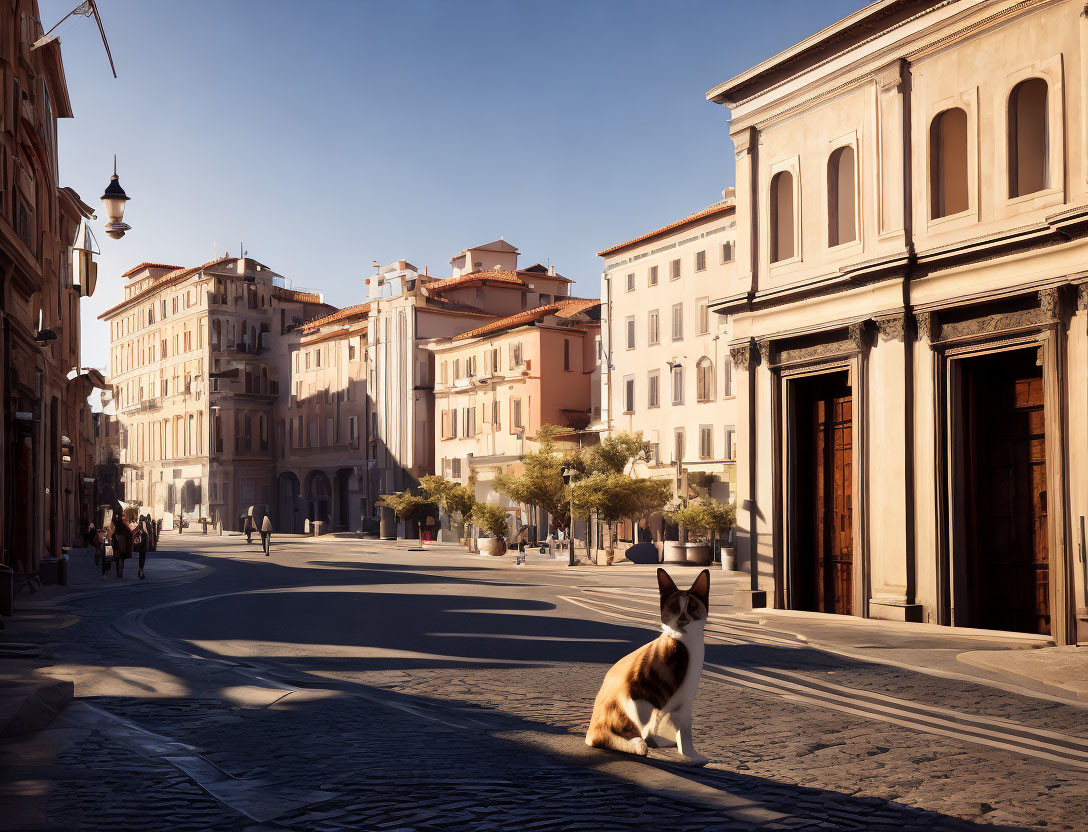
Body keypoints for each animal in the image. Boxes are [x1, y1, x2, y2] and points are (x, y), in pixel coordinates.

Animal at [587, 565, 713, 765]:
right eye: (674, 607)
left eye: (692, 607)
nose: (682, 620)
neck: (686, 642)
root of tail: (590, 729)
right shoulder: (647, 693)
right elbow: (683, 731)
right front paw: (691, 756)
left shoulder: (682, 702)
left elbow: (677, 728)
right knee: (607, 738)